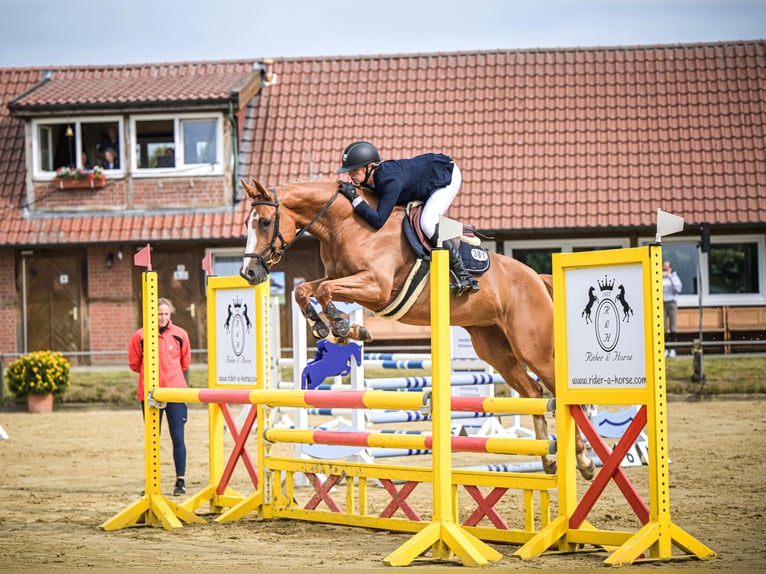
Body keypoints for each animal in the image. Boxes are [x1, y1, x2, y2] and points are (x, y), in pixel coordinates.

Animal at [239, 178, 595, 479]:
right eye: (247, 224)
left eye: (265, 222)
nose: (249, 273)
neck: (346, 225)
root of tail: (536, 276)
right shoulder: (344, 281)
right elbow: (305, 290)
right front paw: (334, 328)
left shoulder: (376, 287)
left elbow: (325, 291)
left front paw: (341, 325)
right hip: (495, 350)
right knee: (534, 393)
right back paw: (549, 459)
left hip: (532, 347)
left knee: (557, 392)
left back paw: (584, 460)